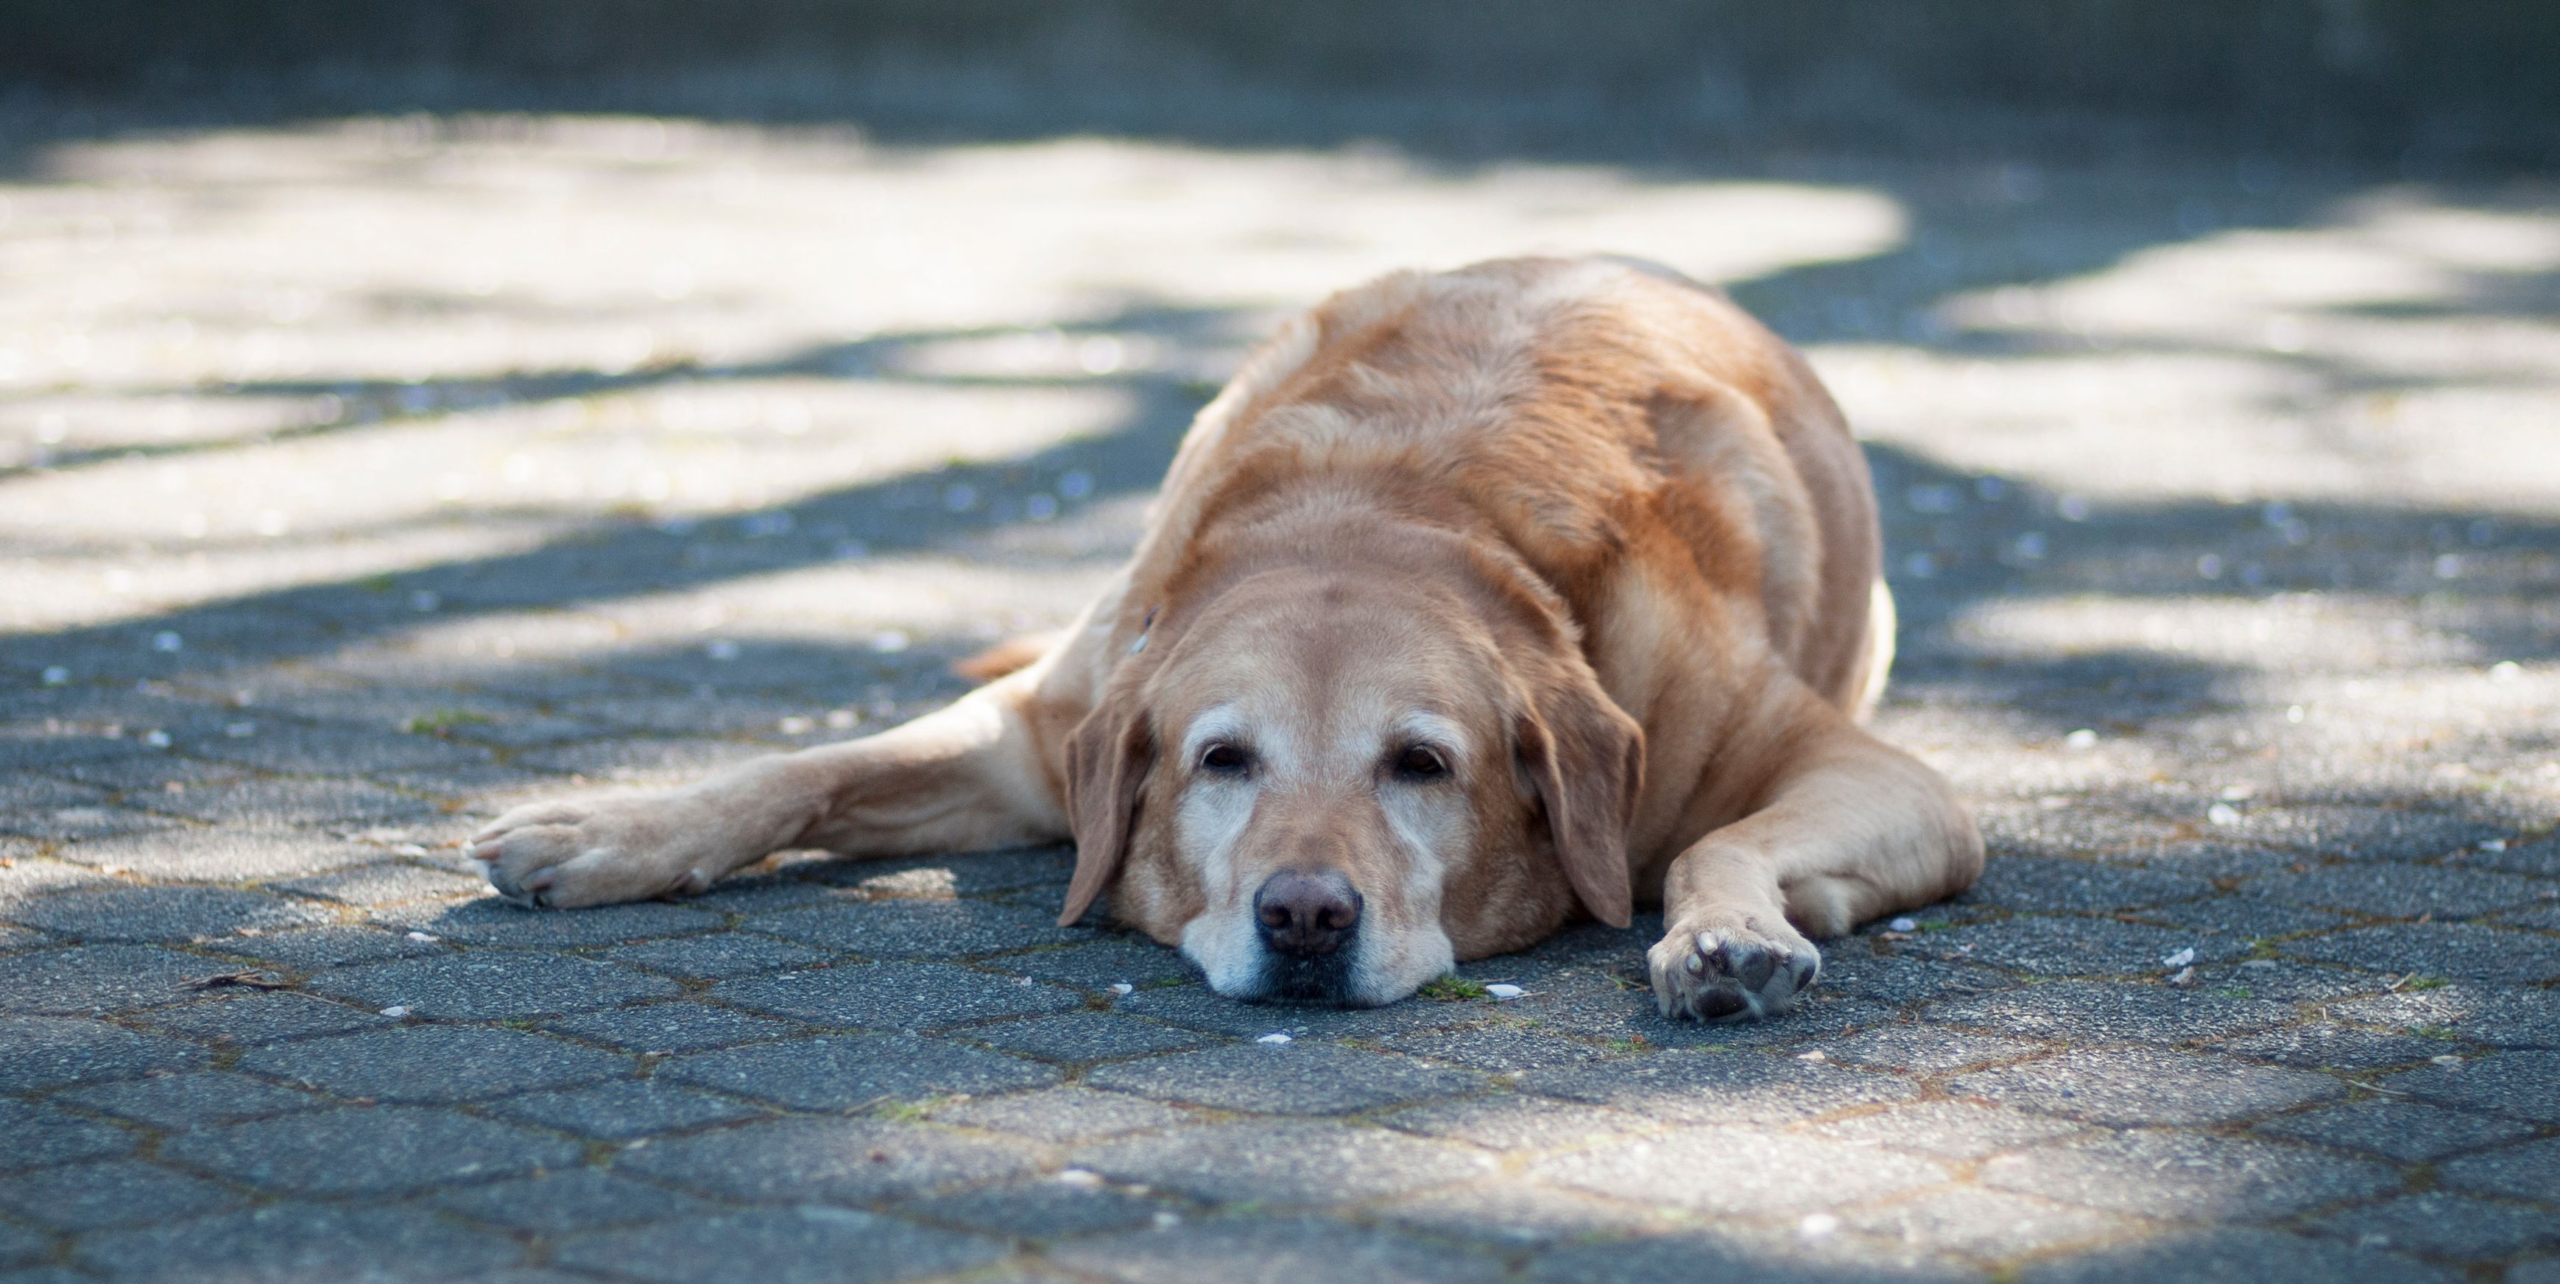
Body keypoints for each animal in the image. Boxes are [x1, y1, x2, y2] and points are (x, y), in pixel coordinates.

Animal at [471, 255, 1976, 1017]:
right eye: (1220, 761)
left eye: (1421, 765)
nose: (1305, 916)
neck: (1387, 511)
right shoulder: (1043, 732)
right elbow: (805, 768)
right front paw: (615, 828)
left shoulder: (1888, 780)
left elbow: (1717, 845)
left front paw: (1723, 934)